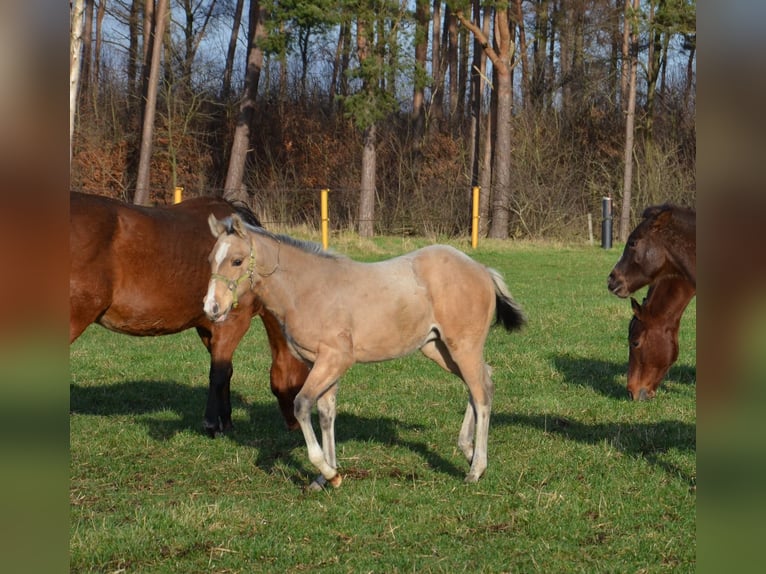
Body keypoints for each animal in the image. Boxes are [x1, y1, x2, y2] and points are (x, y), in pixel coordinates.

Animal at [69, 194, 308, 436]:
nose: (297, 426)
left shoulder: (207, 329)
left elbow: (225, 371)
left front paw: (226, 422)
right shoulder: (233, 323)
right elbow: (219, 374)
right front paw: (212, 424)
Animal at [204, 216, 528, 490]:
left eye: (237, 260)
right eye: (211, 260)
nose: (211, 308)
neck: (308, 290)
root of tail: (482, 270)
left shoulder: (335, 359)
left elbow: (302, 405)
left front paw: (330, 473)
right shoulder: (319, 363)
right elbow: (326, 414)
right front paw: (324, 478)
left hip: (463, 347)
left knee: (481, 394)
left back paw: (476, 469)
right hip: (439, 349)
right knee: (481, 384)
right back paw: (468, 451)